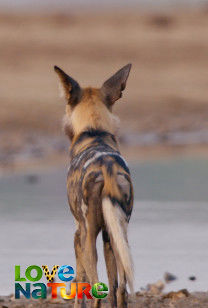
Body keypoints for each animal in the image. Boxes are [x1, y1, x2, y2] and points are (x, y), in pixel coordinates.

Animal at [54, 63, 134, 306]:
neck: (94, 130)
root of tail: (106, 168)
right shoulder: (109, 235)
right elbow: (114, 286)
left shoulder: (78, 233)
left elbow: (79, 280)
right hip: (120, 235)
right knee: (121, 290)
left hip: (88, 237)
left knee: (96, 289)